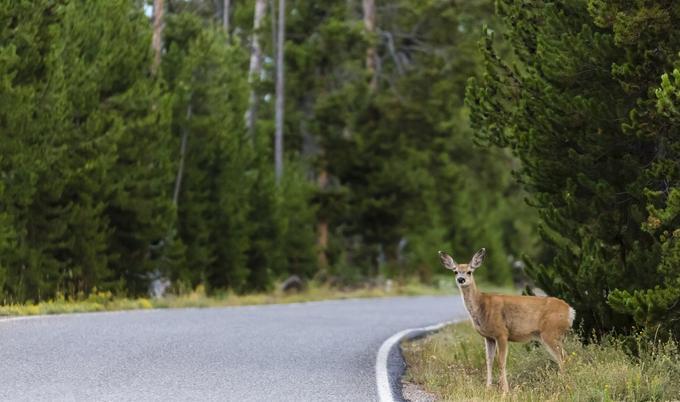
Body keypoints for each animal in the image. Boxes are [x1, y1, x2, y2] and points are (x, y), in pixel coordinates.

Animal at [438, 248, 575, 393]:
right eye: (455, 271)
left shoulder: (502, 333)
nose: (461, 279)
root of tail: (570, 310)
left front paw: (505, 390)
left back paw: (564, 384)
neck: (481, 306)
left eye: (469, 271)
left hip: (551, 332)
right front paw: (488, 388)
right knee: (563, 356)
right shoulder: (489, 337)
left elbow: (501, 361)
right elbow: (489, 361)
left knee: (563, 357)